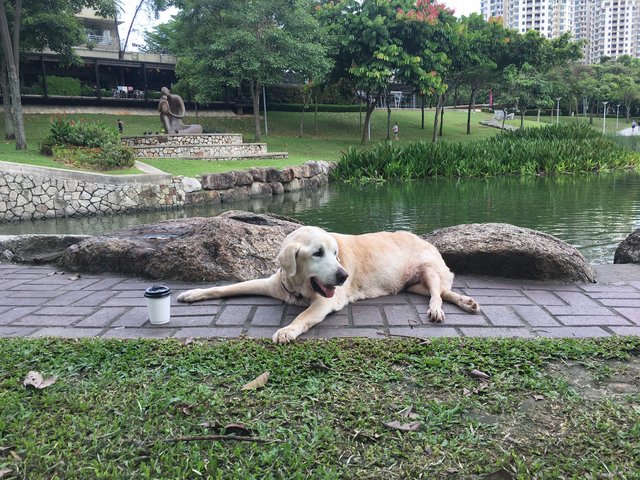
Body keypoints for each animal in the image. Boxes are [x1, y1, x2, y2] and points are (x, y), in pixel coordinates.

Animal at [178, 227, 478, 344]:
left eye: (335, 253)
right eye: (317, 253)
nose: (344, 276)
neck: (298, 286)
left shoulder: (325, 301)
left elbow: (302, 316)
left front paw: (287, 330)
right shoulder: (270, 283)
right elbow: (226, 288)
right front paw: (193, 294)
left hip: (429, 269)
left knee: (437, 293)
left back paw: (438, 309)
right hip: (414, 285)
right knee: (444, 291)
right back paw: (466, 301)